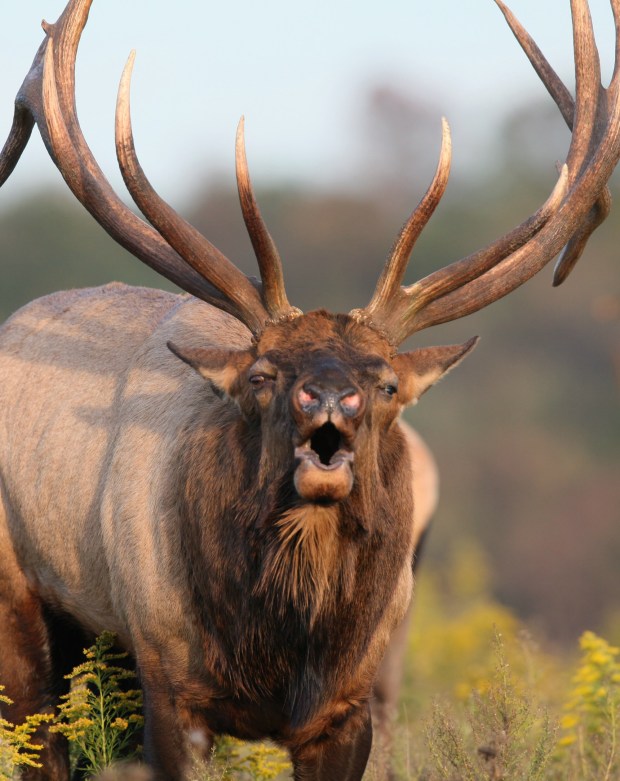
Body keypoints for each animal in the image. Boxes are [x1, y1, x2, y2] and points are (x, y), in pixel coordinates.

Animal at [0, 0, 619, 779]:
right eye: (262, 376)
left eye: (386, 382)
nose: (328, 399)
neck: (282, 653)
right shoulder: (170, 682)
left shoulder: (347, 705)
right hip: (24, 607)